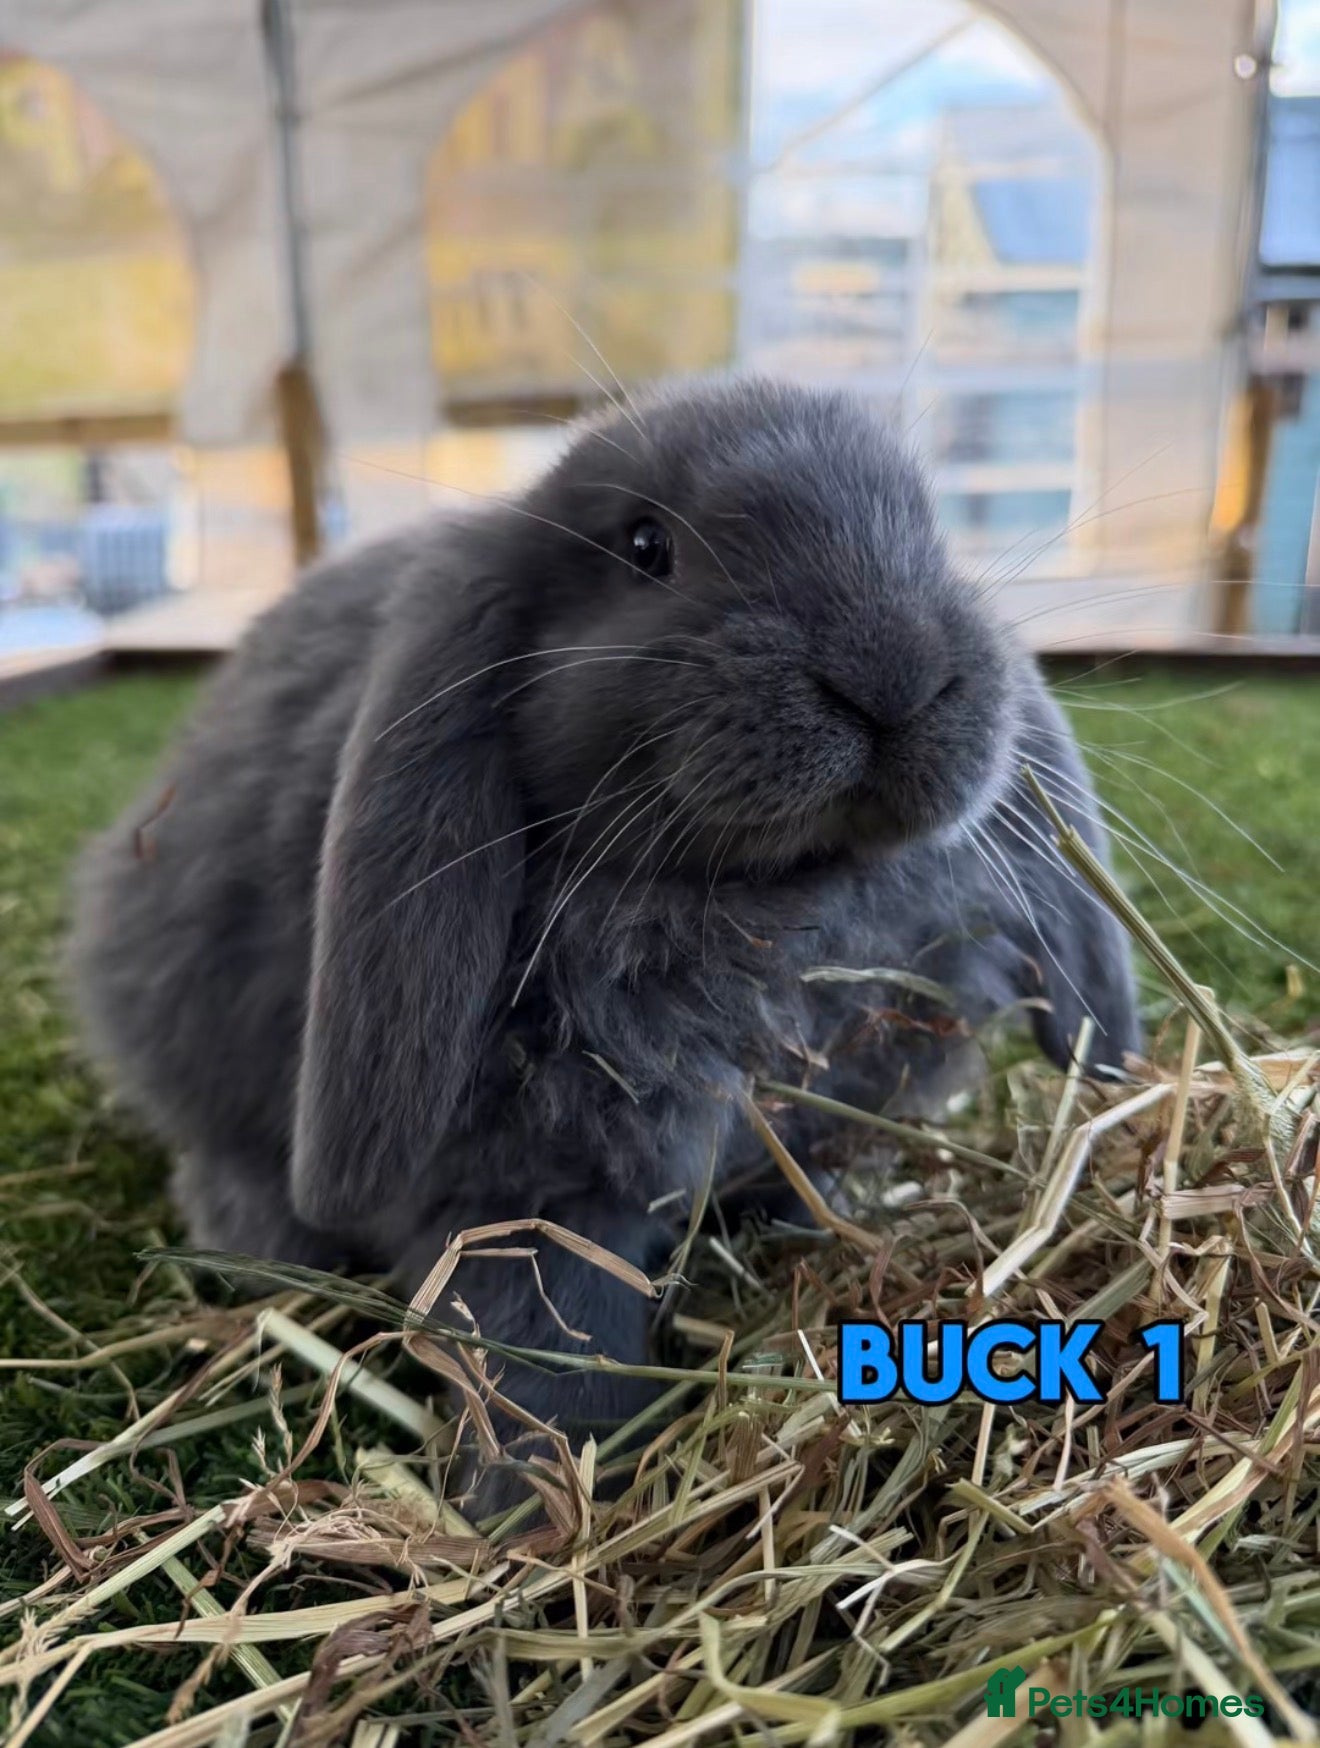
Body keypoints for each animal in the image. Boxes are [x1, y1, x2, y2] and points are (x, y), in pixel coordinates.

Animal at [71, 376, 1140, 1503]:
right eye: (644, 545)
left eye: (931, 529)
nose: (892, 667)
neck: (778, 901)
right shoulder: (528, 1198)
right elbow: (553, 1334)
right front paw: (539, 1499)